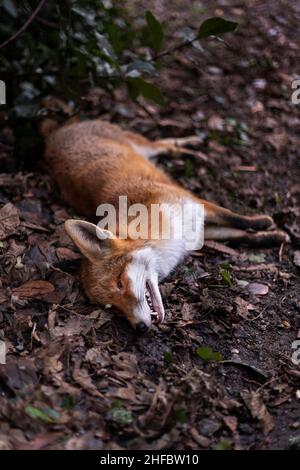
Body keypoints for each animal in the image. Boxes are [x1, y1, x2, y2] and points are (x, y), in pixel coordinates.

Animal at [44, 119, 286, 332]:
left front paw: (264, 223)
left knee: (165, 145)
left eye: (120, 283)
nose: (140, 328)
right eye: (111, 306)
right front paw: (273, 237)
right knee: (167, 146)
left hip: (142, 145)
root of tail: (56, 134)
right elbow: (240, 235)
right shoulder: (201, 232)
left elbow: (237, 219)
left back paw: (193, 148)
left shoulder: (196, 204)